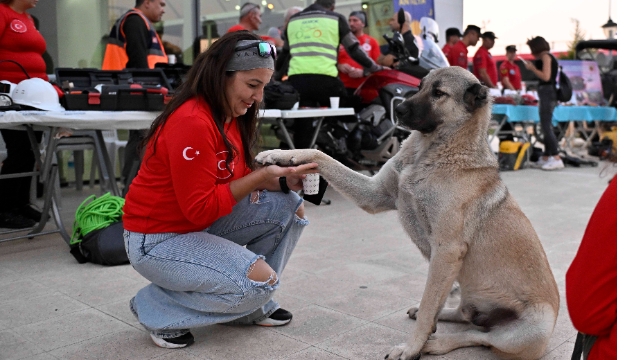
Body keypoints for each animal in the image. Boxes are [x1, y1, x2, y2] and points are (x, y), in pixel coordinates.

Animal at [254, 67, 556, 360]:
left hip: (528, 331)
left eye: (438, 93)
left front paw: (412, 348)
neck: (431, 153)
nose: (397, 110)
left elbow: (429, 303)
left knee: (479, 337)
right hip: (467, 291)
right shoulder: (375, 195)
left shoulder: (446, 250)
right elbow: (321, 155)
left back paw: (436, 344)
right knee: (464, 316)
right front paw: (279, 154)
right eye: (420, 85)